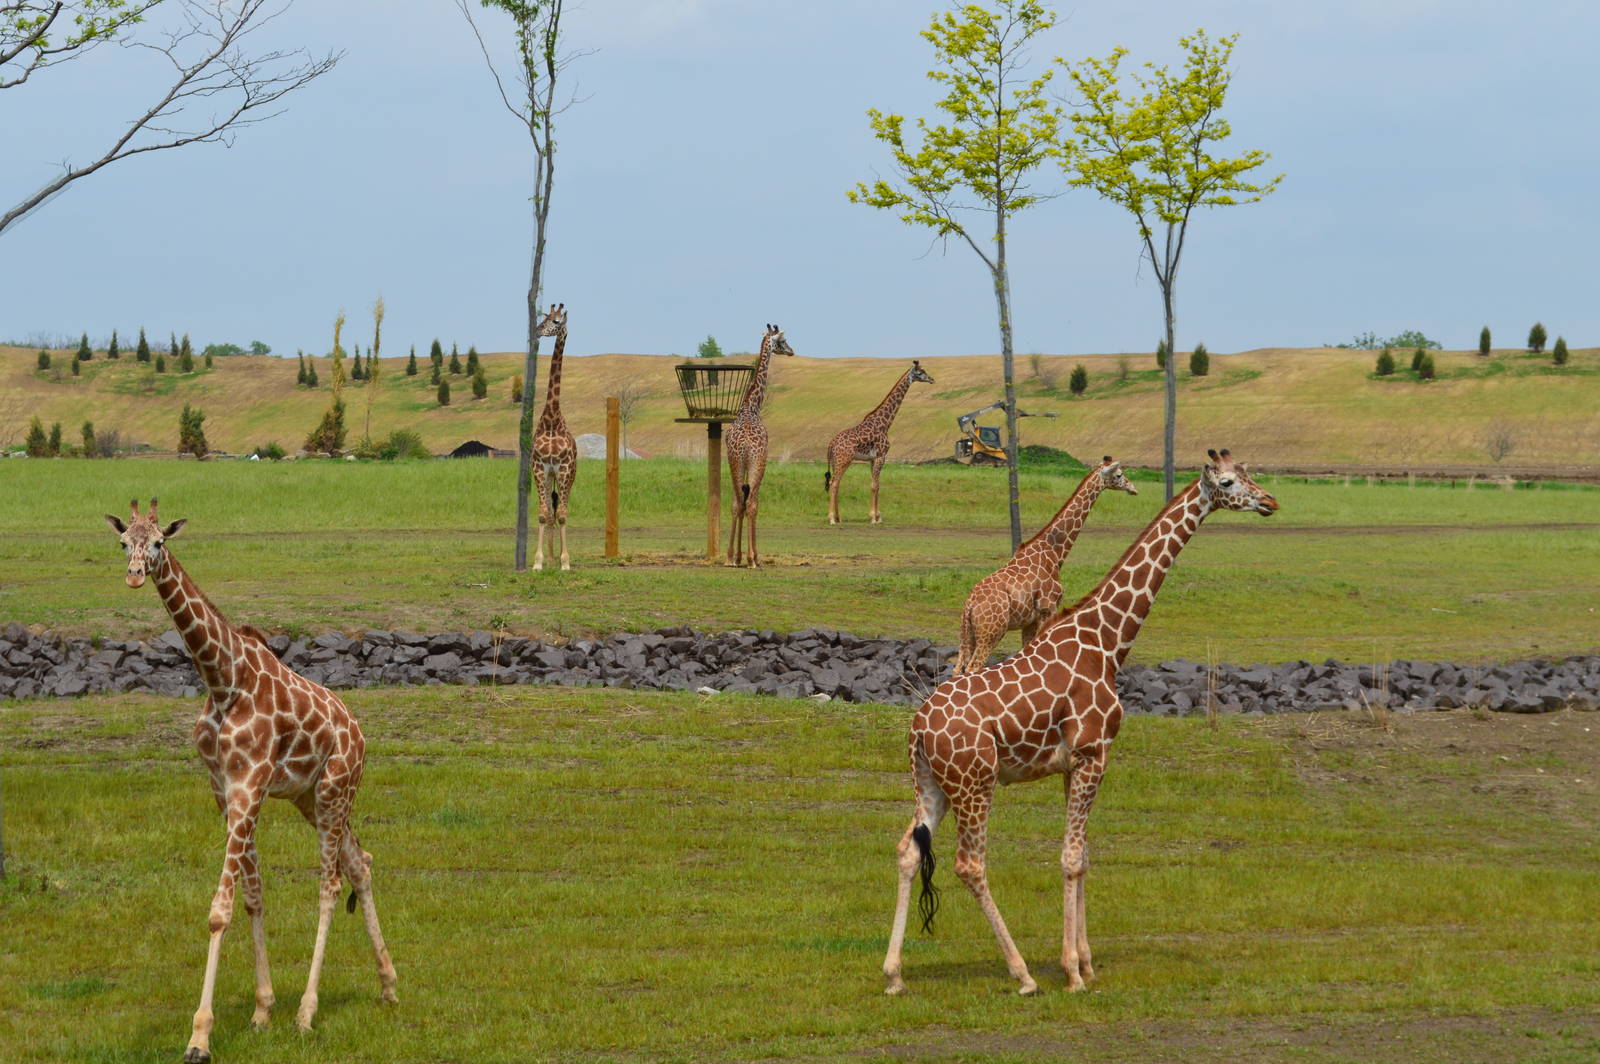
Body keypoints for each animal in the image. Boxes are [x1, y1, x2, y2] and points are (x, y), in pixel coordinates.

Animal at [104, 499, 397, 1063]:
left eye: (159, 542)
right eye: (125, 541)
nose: (132, 575)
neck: (223, 680)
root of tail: (360, 734)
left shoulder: (250, 785)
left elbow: (220, 910)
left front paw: (200, 1036)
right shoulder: (226, 790)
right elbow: (253, 896)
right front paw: (262, 1010)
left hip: (334, 790)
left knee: (330, 883)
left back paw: (307, 1013)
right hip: (312, 798)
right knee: (361, 863)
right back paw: (389, 985)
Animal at [724, 323, 795, 568]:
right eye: (782, 341)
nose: (792, 351)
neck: (751, 406)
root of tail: (746, 444)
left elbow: (740, 503)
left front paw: (736, 556)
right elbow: (752, 503)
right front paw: (750, 556)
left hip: (735, 462)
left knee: (738, 502)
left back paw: (730, 558)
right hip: (757, 463)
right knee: (752, 503)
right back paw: (753, 558)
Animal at [824, 360, 935, 525]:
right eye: (921, 371)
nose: (932, 379)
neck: (885, 424)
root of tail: (831, 444)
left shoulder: (873, 458)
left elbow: (877, 485)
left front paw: (878, 516)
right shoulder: (881, 456)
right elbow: (874, 486)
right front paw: (873, 518)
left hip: (836, 461)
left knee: (836, 484)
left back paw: (839, 518)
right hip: (844, 460)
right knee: (834, 483)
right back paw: (831, 518)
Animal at [952, 457, 1138, 675]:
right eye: (1119, 474)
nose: (1133, 488)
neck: (1054, 554)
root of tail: (970, 606)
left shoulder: (1030, 621)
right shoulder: (1047, 610)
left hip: (967, 634)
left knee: (958, 669)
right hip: (991, 632)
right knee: (973, 668)